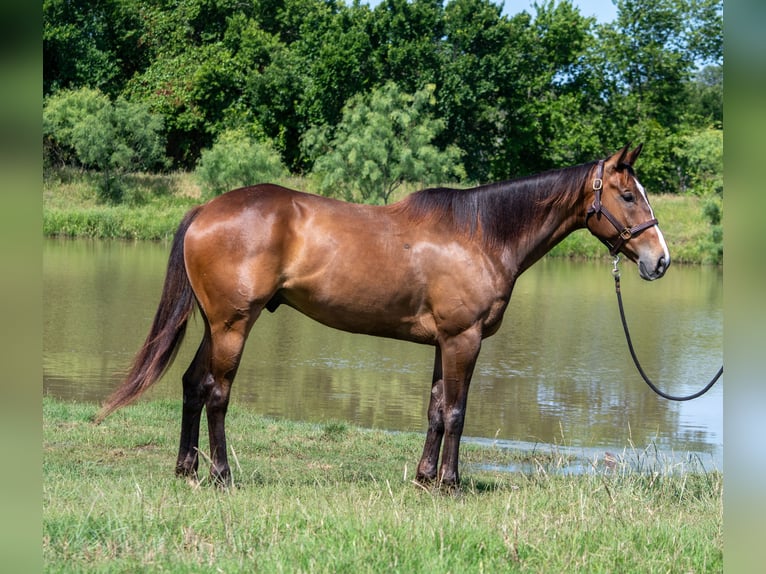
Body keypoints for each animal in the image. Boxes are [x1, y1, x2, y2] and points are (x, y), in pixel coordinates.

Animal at [96, 143, 670, 487]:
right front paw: (450, 484)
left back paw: (186, 469)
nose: (659, 260)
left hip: (216, 325)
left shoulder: (445, 343)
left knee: (194, 385)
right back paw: (220, 474)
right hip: (234, 325)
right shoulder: (464, 339)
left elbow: (436, 410)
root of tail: (205, 210)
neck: (481, 234)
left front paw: (424, 477)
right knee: (217, 394)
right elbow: (457, 413)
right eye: (626, 194)